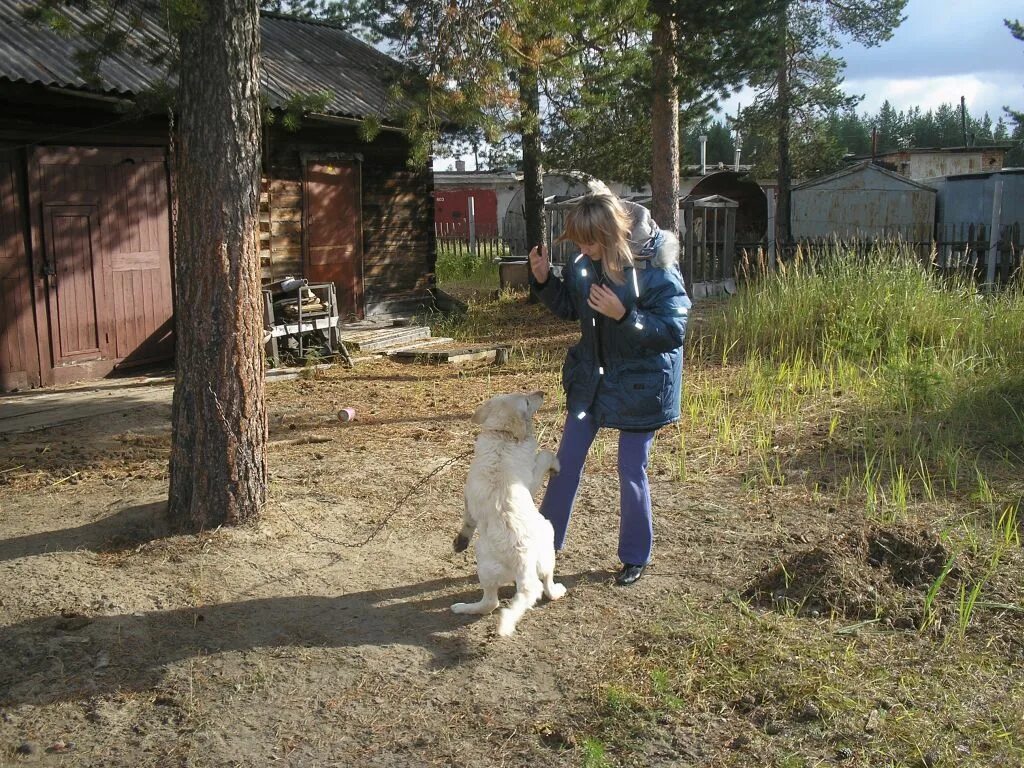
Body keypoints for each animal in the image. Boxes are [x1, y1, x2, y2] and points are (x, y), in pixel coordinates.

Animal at [454, 391, 569, 638]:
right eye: (526, 401)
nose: (542, 392)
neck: (502, 437)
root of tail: (523, 558)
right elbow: (545, 454)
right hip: (546, 546)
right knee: (545, 587)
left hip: (485, 563)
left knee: (491, 603)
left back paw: (462, 608)